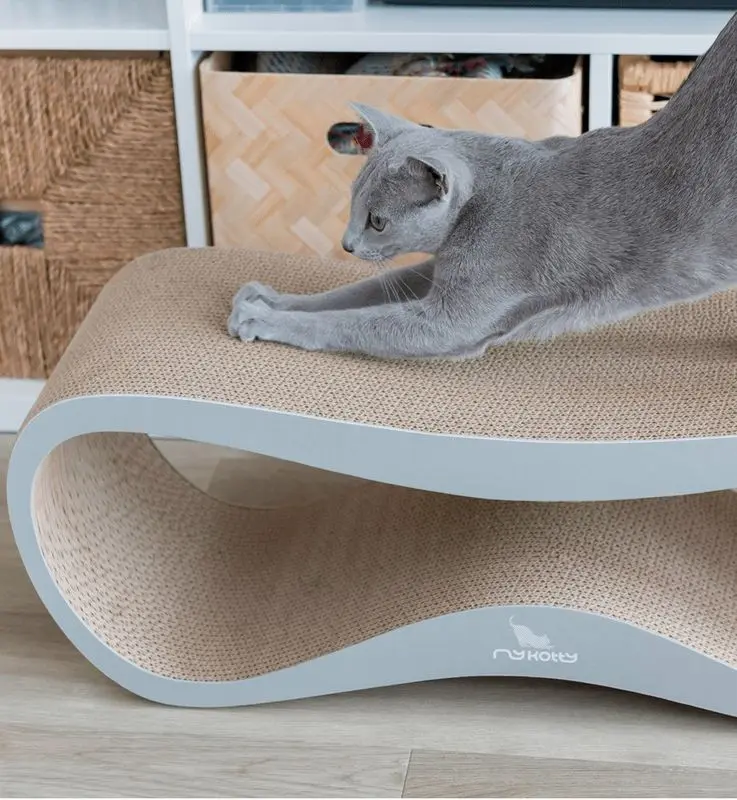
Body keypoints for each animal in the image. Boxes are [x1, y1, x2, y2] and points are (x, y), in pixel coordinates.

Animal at [228, 12, 737, 360]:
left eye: (377, 221)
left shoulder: (454, 316)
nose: (346, 245)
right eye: (353, 207)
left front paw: (263, 318)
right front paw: (270, 299)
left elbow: (353, 322)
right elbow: (353, 294)